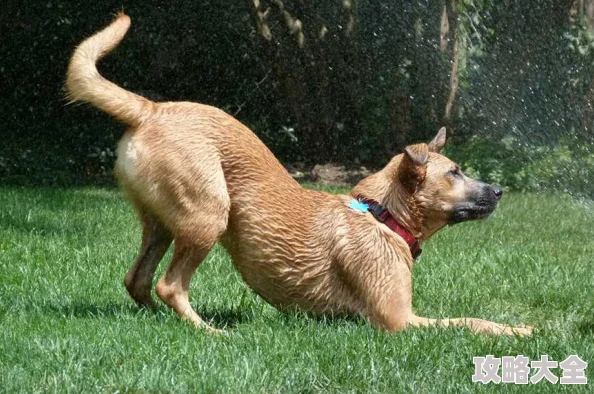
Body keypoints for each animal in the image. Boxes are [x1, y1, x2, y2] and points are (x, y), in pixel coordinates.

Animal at [67, 13, 528, 336]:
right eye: (455, 172)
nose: (499, 191)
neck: (382, 216)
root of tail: (151, 109)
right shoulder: (397, 322)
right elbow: (469, 321)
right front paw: (519, 330)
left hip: (162, 221)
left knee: (138, 280)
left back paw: (158, 320)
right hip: (208, 215)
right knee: (169, 286)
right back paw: (209, 331)